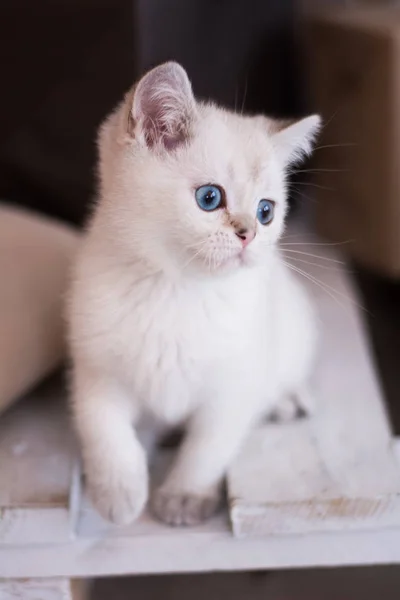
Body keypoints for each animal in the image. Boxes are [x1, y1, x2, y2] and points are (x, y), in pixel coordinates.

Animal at [67, 63, 320, 528]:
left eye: (266, 211)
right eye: (209, 198)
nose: (249, 234)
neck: (176, 289)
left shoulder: (234, 386)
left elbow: (207, 448)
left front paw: (183, 497)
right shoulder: (96, 368)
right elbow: (105, 430)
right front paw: (118, 493)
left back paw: (288, 402)